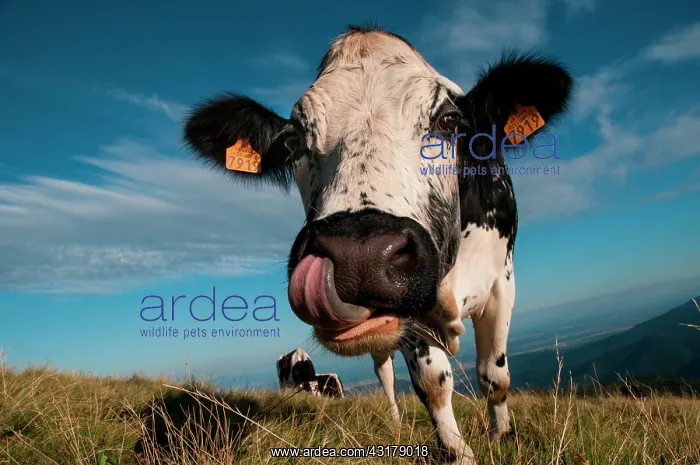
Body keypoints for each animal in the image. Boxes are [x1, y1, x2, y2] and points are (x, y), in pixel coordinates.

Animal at [184, 24, 573, 464]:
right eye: (291, 141)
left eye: (449, 120)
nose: (360, 257)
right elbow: (433, 382)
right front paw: (458, 452)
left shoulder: (501, 281)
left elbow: (495, 374)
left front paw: (503, 435)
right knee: (384, 372)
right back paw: (395, 420)